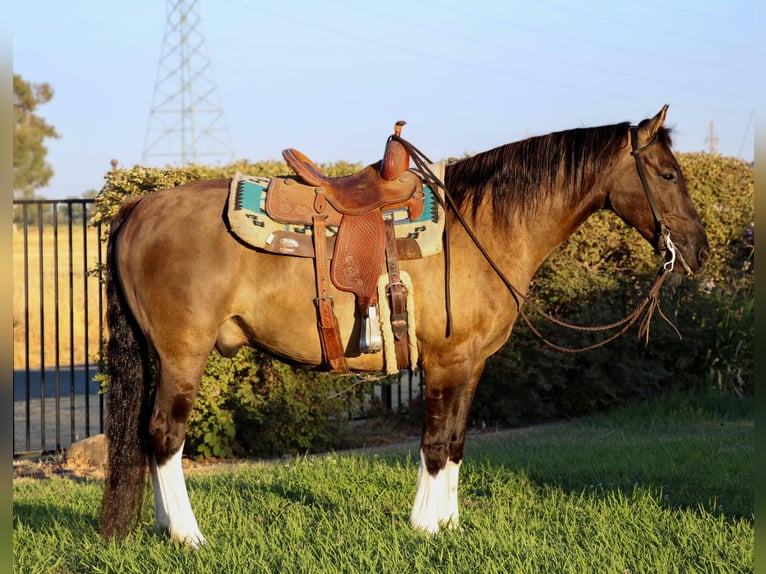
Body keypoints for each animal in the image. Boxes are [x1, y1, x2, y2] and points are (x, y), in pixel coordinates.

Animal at [102, 106, 712, 548]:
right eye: (667, 173)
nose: (699, 252)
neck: (483, 227)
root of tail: (137, 207)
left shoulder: (473, 363)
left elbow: (458, 441)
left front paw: (451, 524)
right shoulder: (445, 361)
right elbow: (435, 443)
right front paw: (425, 526)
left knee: (150, 436)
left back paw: (163, 527)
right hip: (184, 353)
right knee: (165, 435)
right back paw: (189, 536)